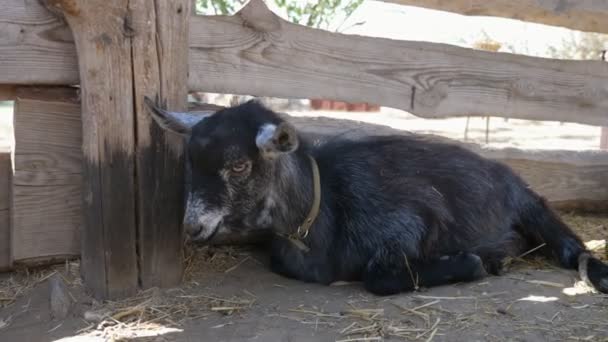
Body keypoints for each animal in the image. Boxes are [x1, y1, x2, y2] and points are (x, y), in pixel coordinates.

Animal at [144, 97, 608, 296]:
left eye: (239, 165)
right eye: (189, 163)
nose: (192, 226)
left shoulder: (414, 217)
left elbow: (377, 278)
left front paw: (472, 262)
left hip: (535, 206)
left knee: (573, 248)